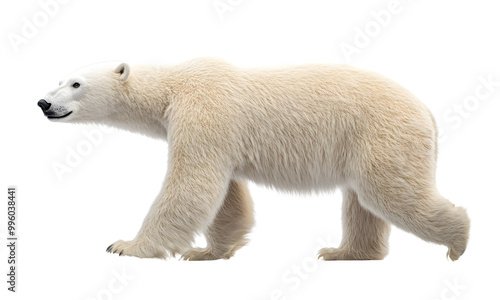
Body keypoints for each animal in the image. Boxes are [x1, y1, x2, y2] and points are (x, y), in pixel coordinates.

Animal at [37, 58, 470, 260]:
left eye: (75, 84)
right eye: (59, 79)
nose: (43, 103)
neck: (175, 86)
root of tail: (427, 111)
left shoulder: (203, 114)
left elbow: (191, 185)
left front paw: (126, 245)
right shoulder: (219, 136)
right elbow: (227, 197)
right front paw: (208, 252)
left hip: (382, 134)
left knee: (391, 193)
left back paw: (459, 240)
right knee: (362, 202)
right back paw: (343, 252)